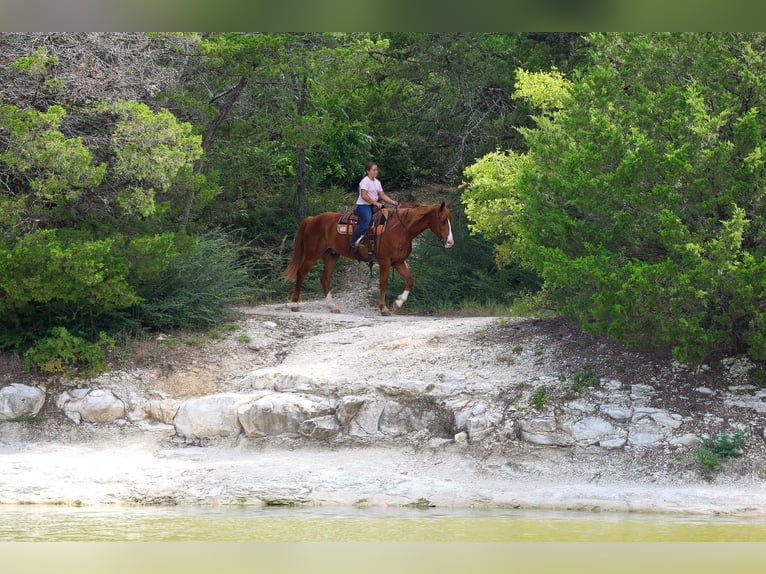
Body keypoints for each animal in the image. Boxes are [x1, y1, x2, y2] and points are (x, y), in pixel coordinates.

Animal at [283, 202, 455, 315]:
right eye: (441, 220)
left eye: (450, 220)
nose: (450, 242)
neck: (401, 229)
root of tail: (312, 219)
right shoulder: (385, 261)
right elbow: (383, 283)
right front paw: (384, 308)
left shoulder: (398, 262)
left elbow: (410, 280)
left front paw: (397, 304)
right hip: (312, 254)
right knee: (301, 273)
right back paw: (295, 304)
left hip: (331, 255)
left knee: (325, 279)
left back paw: (333, 307)